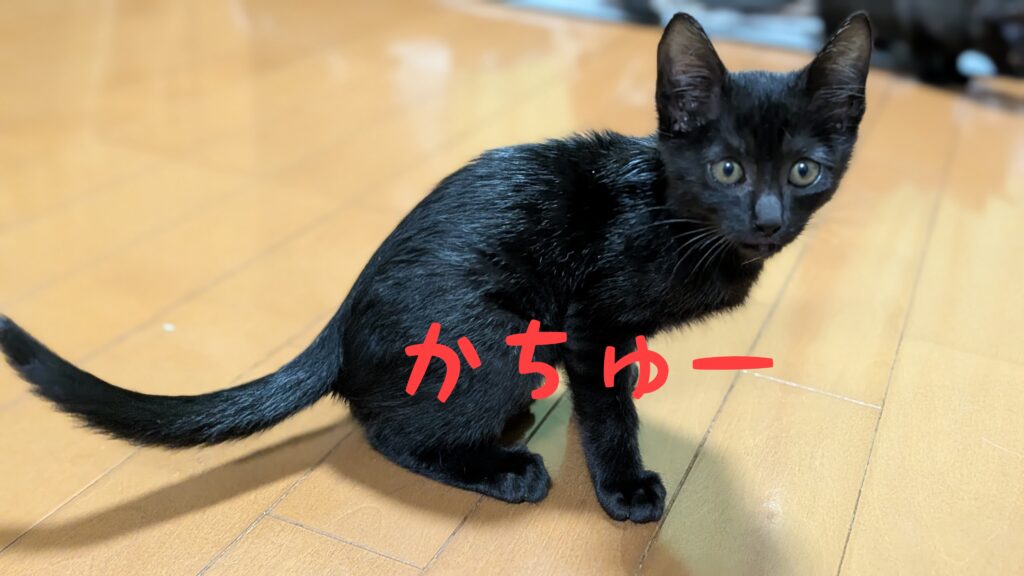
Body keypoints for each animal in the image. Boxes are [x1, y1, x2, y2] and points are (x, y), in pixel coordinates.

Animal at [0, 13, 872, 523]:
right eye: (727, 170)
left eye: (804, 171)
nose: (767, 220)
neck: (672, 212)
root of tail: (341, 323)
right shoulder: (593, 319)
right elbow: (609, 414)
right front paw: (623, 488)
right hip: (501, 331)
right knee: (385, 428)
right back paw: (506, 465)